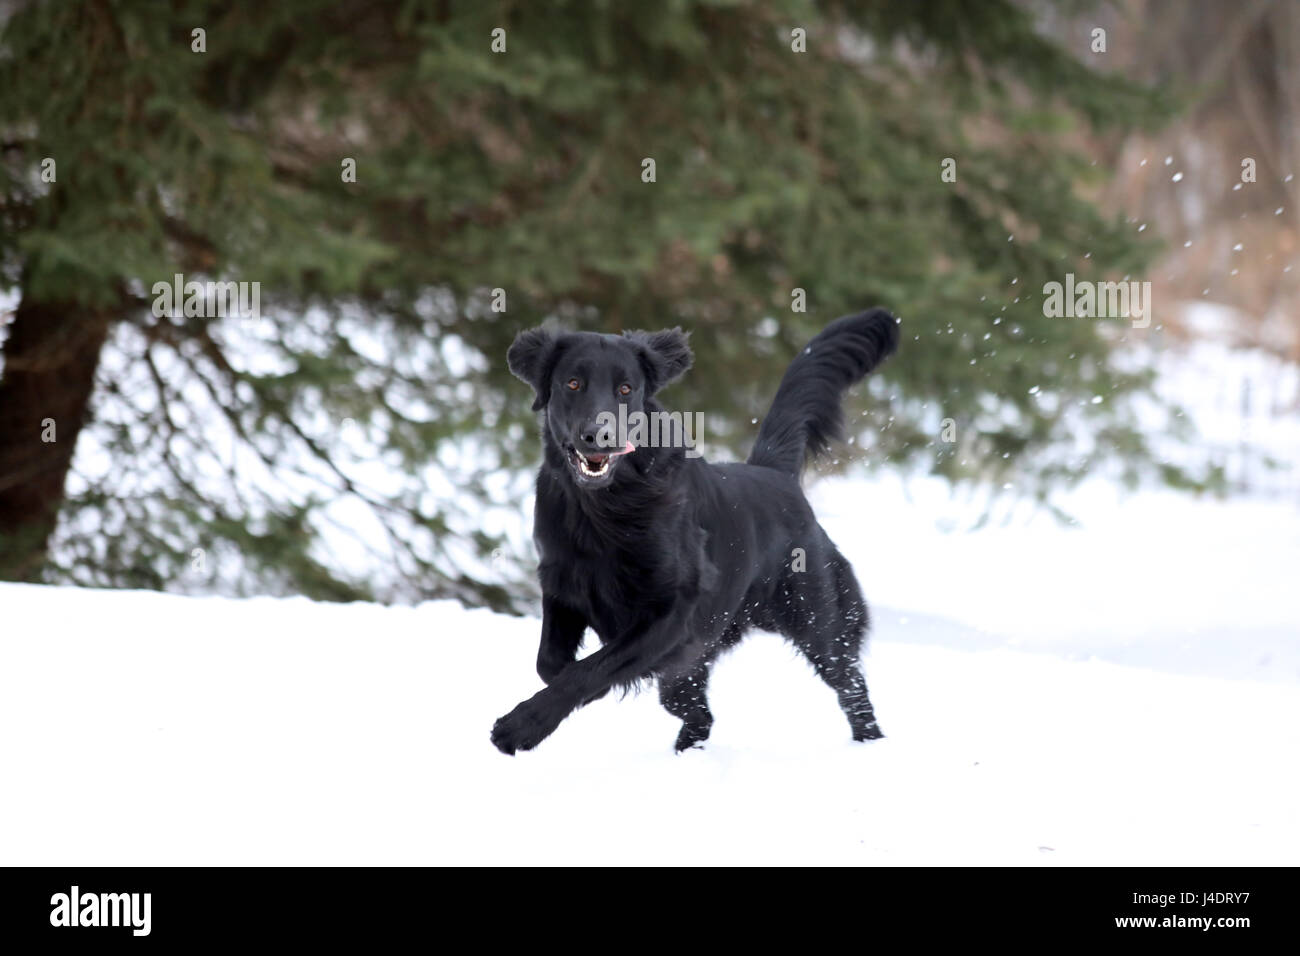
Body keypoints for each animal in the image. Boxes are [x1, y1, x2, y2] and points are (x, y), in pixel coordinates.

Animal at [491, 312, 899, 754]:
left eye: (625, 389)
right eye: (572, 383)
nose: (601, 435)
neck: (607, 506)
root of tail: (774, 474)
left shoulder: (672, 612)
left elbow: (587, 671)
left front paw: (520, 727)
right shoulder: (563, 583)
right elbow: (552, 665)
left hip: (818, 619)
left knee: (852, 687)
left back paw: (870, 743)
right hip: (696, 663)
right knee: (700, 716)